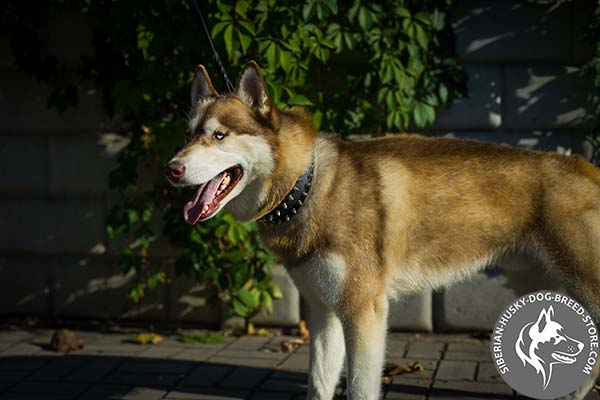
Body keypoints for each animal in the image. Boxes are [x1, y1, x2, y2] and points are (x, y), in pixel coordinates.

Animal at [166, 61, 600, 398]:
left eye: (219, 135)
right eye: (188, 135)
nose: (172, 168)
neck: (307, 185)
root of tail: (585, 166)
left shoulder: (364, 311)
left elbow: (360, 388)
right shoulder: (324, 314)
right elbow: (319, 384)